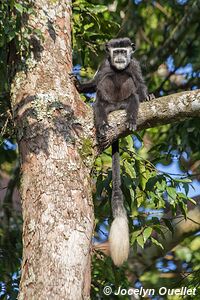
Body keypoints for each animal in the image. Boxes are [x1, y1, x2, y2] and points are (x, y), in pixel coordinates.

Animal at [75, 38, 153, 268]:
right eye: (115, 51)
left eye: (123, 51)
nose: (119, 57)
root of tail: (117, 106)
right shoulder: (104, 64)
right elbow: (97, 81)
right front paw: (80, 85)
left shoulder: (134, 65)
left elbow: (138, 83)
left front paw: (148, 96)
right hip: (106, 103)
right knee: (100, 99)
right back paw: (102, 127)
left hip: (127, 102)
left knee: (132, 96)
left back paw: (131, 120)